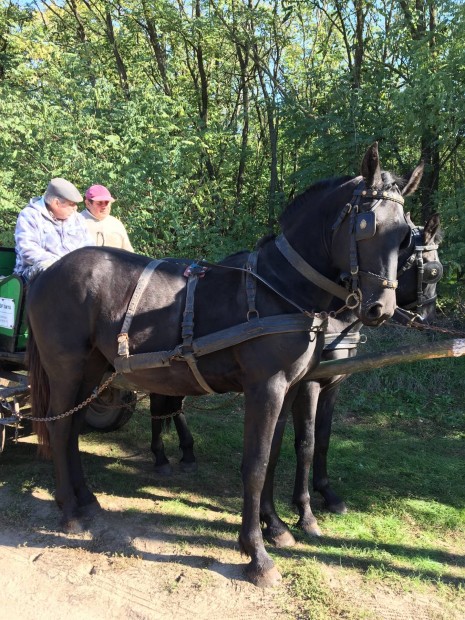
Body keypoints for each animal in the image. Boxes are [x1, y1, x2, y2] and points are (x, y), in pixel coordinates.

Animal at [28, 144, 420, 588]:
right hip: (66, 369)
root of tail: (48, 272)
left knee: (73, 428)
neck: (278, 289)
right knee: (60, 428)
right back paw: (69, 511)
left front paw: (276, 527)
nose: (380, 308)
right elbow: (256, 464)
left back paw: (87, 499)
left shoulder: (289, 388)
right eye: (367, 225)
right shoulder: (266, 387)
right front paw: (257, 554)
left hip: (94, 370)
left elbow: (276, 454)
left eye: (404, 235)